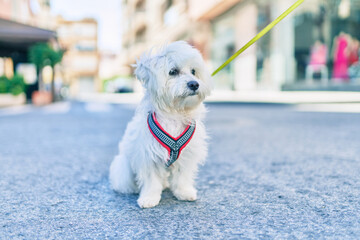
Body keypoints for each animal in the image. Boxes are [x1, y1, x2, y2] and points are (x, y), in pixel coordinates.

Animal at [108, 41, 212, 208]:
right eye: (173, 71)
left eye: (193, 71)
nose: (194, 84)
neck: (175, 113)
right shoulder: (148, 157)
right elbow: (151, 182)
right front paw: (149, 198)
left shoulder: (187, 156)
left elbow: (182, 178)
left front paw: (184, 192)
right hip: (123, 168)